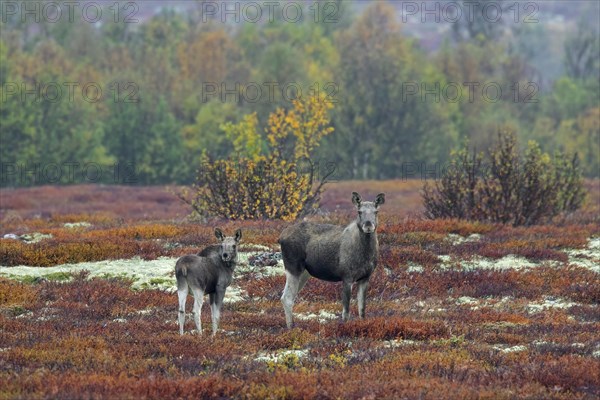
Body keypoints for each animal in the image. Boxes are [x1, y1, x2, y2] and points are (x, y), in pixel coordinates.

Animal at [280, 191, 386, 328]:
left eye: (376, 211)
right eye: (359, 211)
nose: (368, 225)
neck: (365, 254)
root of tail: (280, 237)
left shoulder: (365, 278)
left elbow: (362, 310)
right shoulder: (347, 277)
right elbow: (345, 312)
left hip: (304, 273)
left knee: (287, 296)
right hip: (293, 268)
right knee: (287, 297)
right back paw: (291, 327)